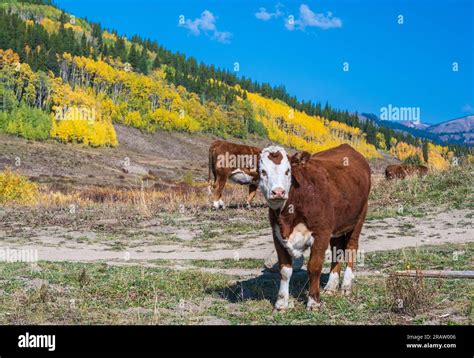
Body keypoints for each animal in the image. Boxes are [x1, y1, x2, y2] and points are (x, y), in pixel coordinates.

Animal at [258, 144, 372, 312]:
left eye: (288, 171)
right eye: (263, 171)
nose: (278, 192)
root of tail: (347, 147)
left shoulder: (321, 232)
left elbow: (314, 267)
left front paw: (313, 302)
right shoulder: (277, 234)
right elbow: (284, 270)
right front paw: (281, 304)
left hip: (359, 216)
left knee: (351, 247)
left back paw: (346, 286)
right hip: (337, 226)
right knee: (337, 249)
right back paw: (331, 286)